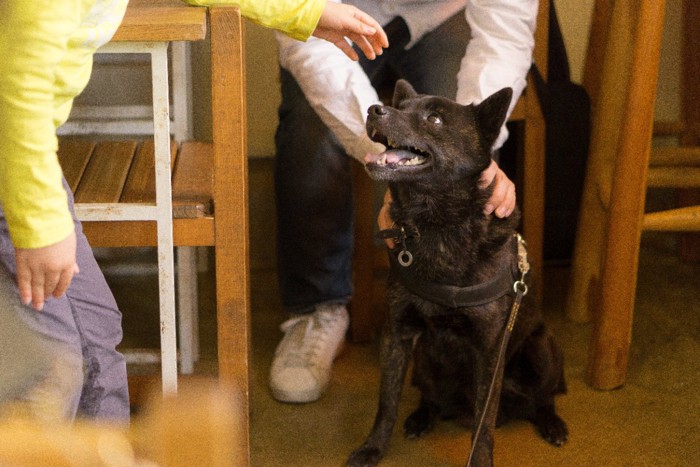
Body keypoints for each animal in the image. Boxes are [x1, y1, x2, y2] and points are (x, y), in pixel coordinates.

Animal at [346, 81, 568, 467]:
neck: (437, 225)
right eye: (401, 106)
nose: (374, 109)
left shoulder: (489, 353)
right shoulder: (398, 334)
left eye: (434, 119)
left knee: (543, 398)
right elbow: (386, 402)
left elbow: (484, 424)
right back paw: (421, 417)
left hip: (541, 350)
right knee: (432, 398)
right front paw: (372, 448)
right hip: (424, 360)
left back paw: (551, 423)